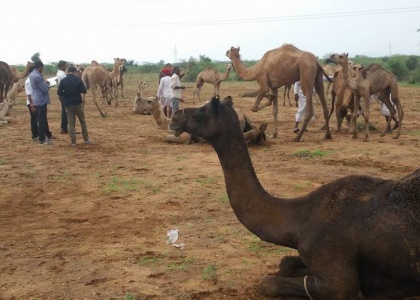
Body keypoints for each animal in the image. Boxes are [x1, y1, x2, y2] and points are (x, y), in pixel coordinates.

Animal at [169, 95, 420, 300]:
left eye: (200, 112)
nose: (174, 117)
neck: (303, 218)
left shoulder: (338, 278)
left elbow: (267, 283)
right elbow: (285, 263)